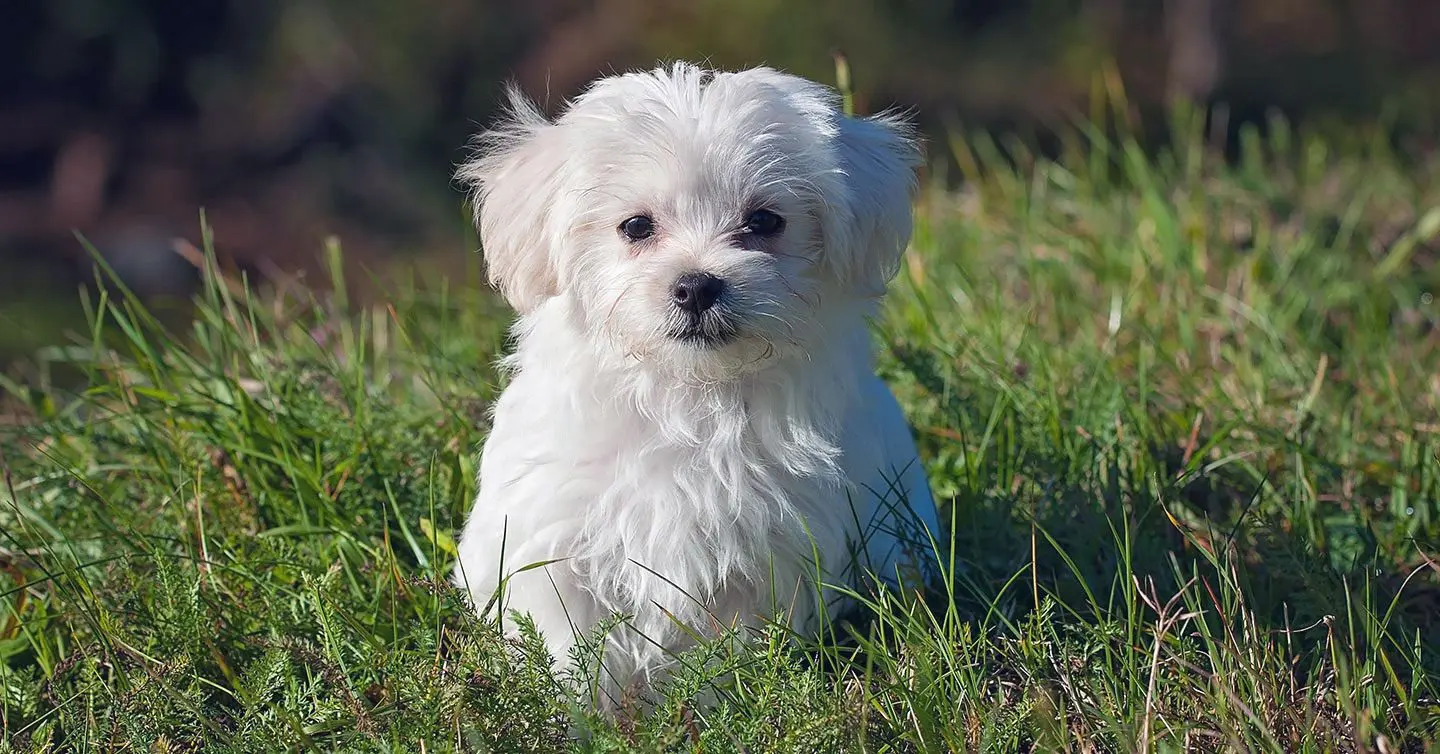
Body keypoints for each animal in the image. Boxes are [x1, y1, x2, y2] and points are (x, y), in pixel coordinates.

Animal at [455, 61, 938, 705]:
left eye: (765, 221)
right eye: (636, 226)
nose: (696, 285)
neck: (690, 395)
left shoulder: (766, 556)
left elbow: (729, 652)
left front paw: (717, 708)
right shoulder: (555, 545)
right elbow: (569, 650)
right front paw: (581, 715)